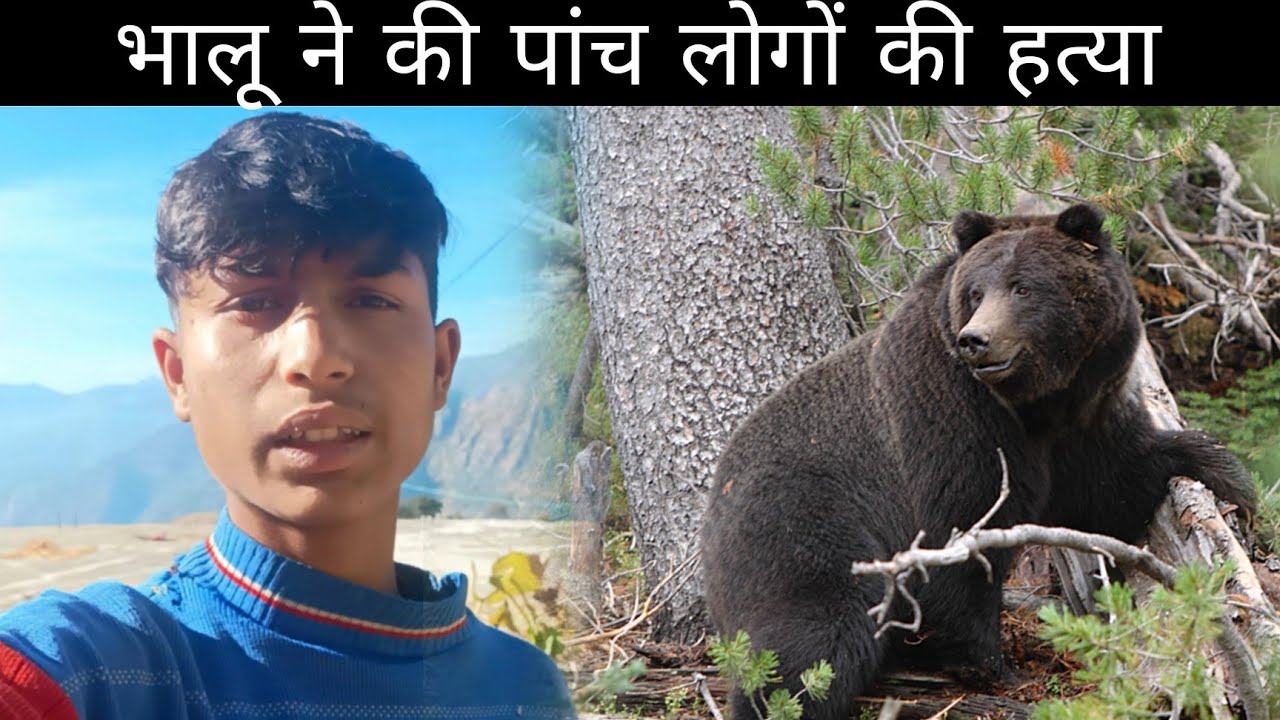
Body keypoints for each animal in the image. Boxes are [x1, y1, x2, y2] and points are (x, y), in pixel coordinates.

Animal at [698, 203, 1258, 720]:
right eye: (975, 292)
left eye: (1023, 288)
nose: (976, 340)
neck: (1038, 404)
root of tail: (712, 509)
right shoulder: (954, 415)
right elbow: (963, 530)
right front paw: (991, 664)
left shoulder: (1086, 418)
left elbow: (1111, 488)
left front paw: (1223, 471)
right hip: (801, 519)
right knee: (820, 627)